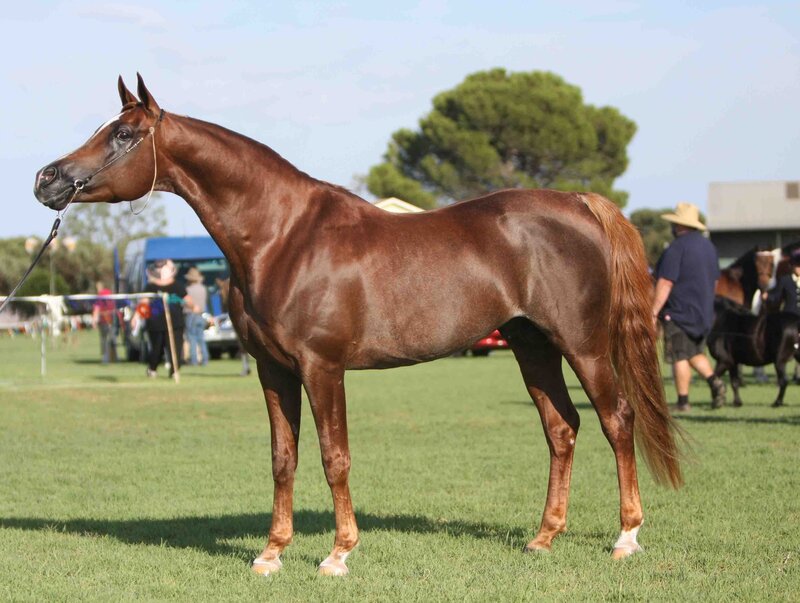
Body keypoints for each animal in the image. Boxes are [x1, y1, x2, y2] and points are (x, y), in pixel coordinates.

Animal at [33, 75, 681, 576]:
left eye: (122, 135)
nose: (47, 178)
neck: (283, 236)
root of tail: (579, 202)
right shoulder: (273, 370)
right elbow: (283, 457)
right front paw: (271, 554)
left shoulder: (322, 367)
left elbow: (333, 455)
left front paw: (338, 554)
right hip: (532, 345)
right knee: (562, 428)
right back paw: (543, 537)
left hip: (583, 345)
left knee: (616, 420)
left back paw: (626, 538)